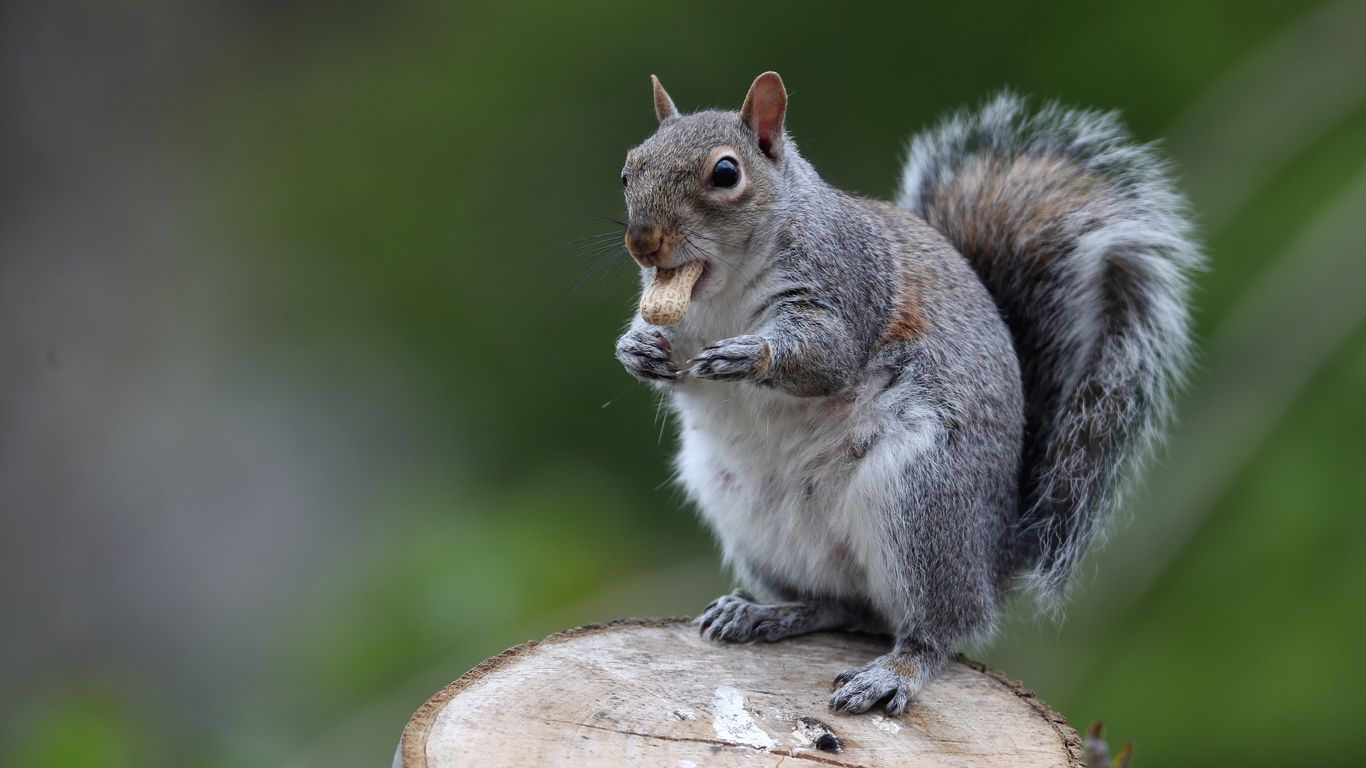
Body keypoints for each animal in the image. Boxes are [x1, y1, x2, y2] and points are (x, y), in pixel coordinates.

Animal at [613, 71, 1199, 715]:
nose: (642, 243)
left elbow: (827, 356)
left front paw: (747, 354)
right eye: (628, 169)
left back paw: (894, 671)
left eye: (725, 173)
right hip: (744, 511)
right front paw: (636, 349)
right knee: (846, 606)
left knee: (940, 627)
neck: (720, 290)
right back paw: (766, 613)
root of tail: (994, 554)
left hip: (921, 498)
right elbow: (656, 335)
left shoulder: (846, 282)